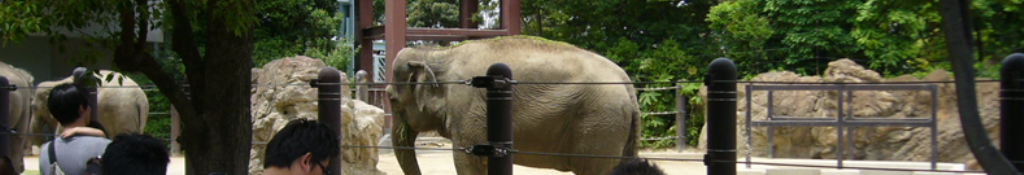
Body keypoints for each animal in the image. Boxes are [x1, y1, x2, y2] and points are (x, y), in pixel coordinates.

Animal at [385, 35, 638, 175]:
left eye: (391, 99)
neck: (438, 55)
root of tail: (627, 83)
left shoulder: (466, 111)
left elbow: (468, 162)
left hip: (599, 125)